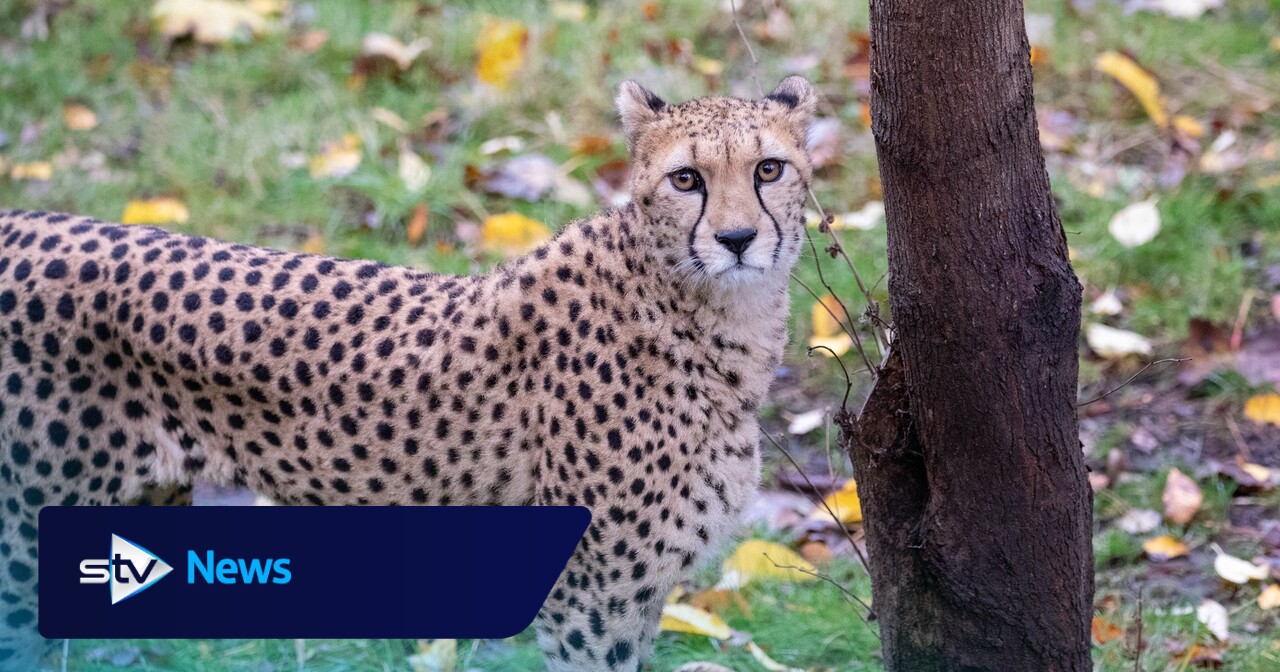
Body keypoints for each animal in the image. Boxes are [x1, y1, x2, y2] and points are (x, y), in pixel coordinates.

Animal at [0, 75, 816, 672]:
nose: (736, 238)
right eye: (687, 179)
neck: (710, 314)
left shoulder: (632, 595)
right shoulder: (590, 599)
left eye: (768, 169)